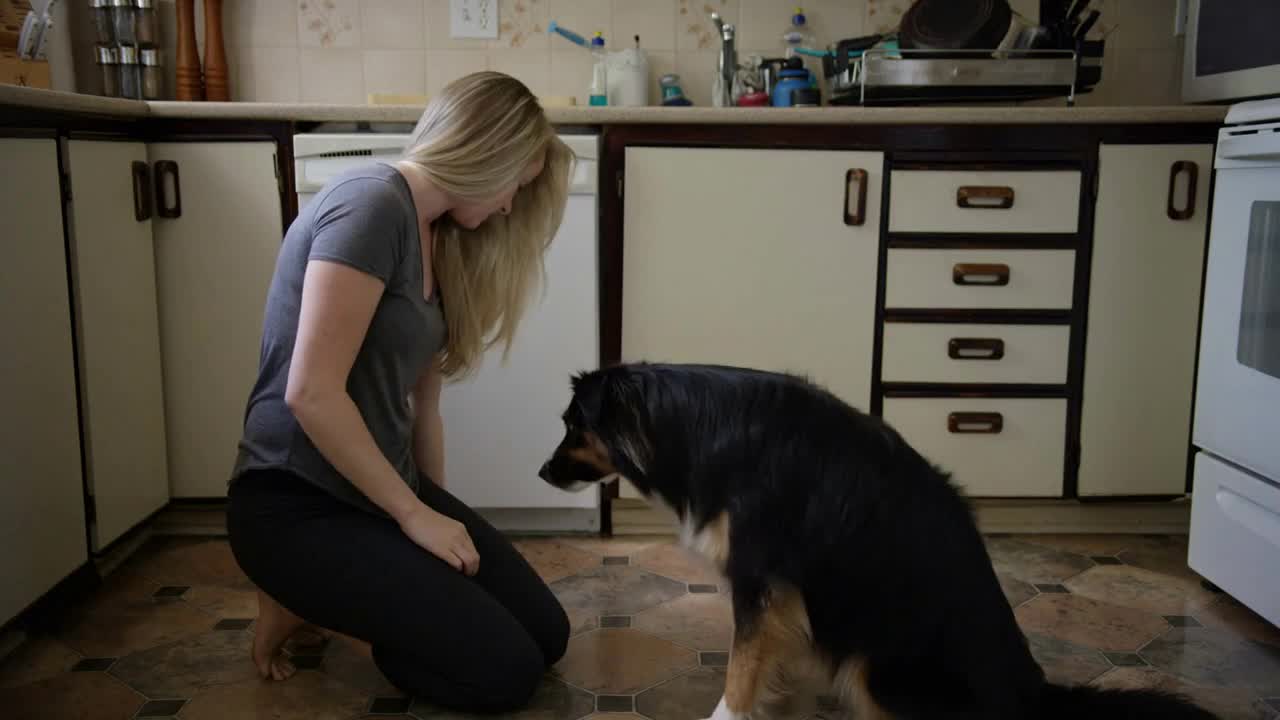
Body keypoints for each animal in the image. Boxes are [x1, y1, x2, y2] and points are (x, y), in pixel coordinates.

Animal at [535, 361, 1213, 717]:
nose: (540, 474)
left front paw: (729, 712)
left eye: (572, 426)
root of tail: (1032, 693)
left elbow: (739, 667)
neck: (695, 427)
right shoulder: (783, 598)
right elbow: (768, 655)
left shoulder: (759, 578)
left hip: (875, 666)